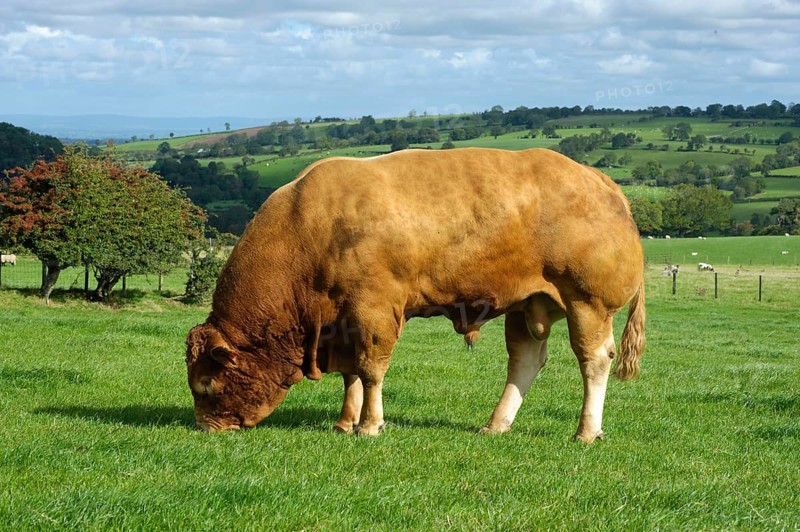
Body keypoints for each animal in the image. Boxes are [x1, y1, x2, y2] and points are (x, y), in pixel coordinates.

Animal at [186, 148, 646, 443]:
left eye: (206, 384)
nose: (205, 428)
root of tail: (595, 177)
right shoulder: (343, 320)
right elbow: (352, 374)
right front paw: (345, 422)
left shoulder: (373, 309)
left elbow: (370, 369)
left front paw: (369, 426)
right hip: (527, 305)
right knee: (525, 361)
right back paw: (496, 425)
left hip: (586, 302)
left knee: (593, 360)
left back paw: (586, 431)